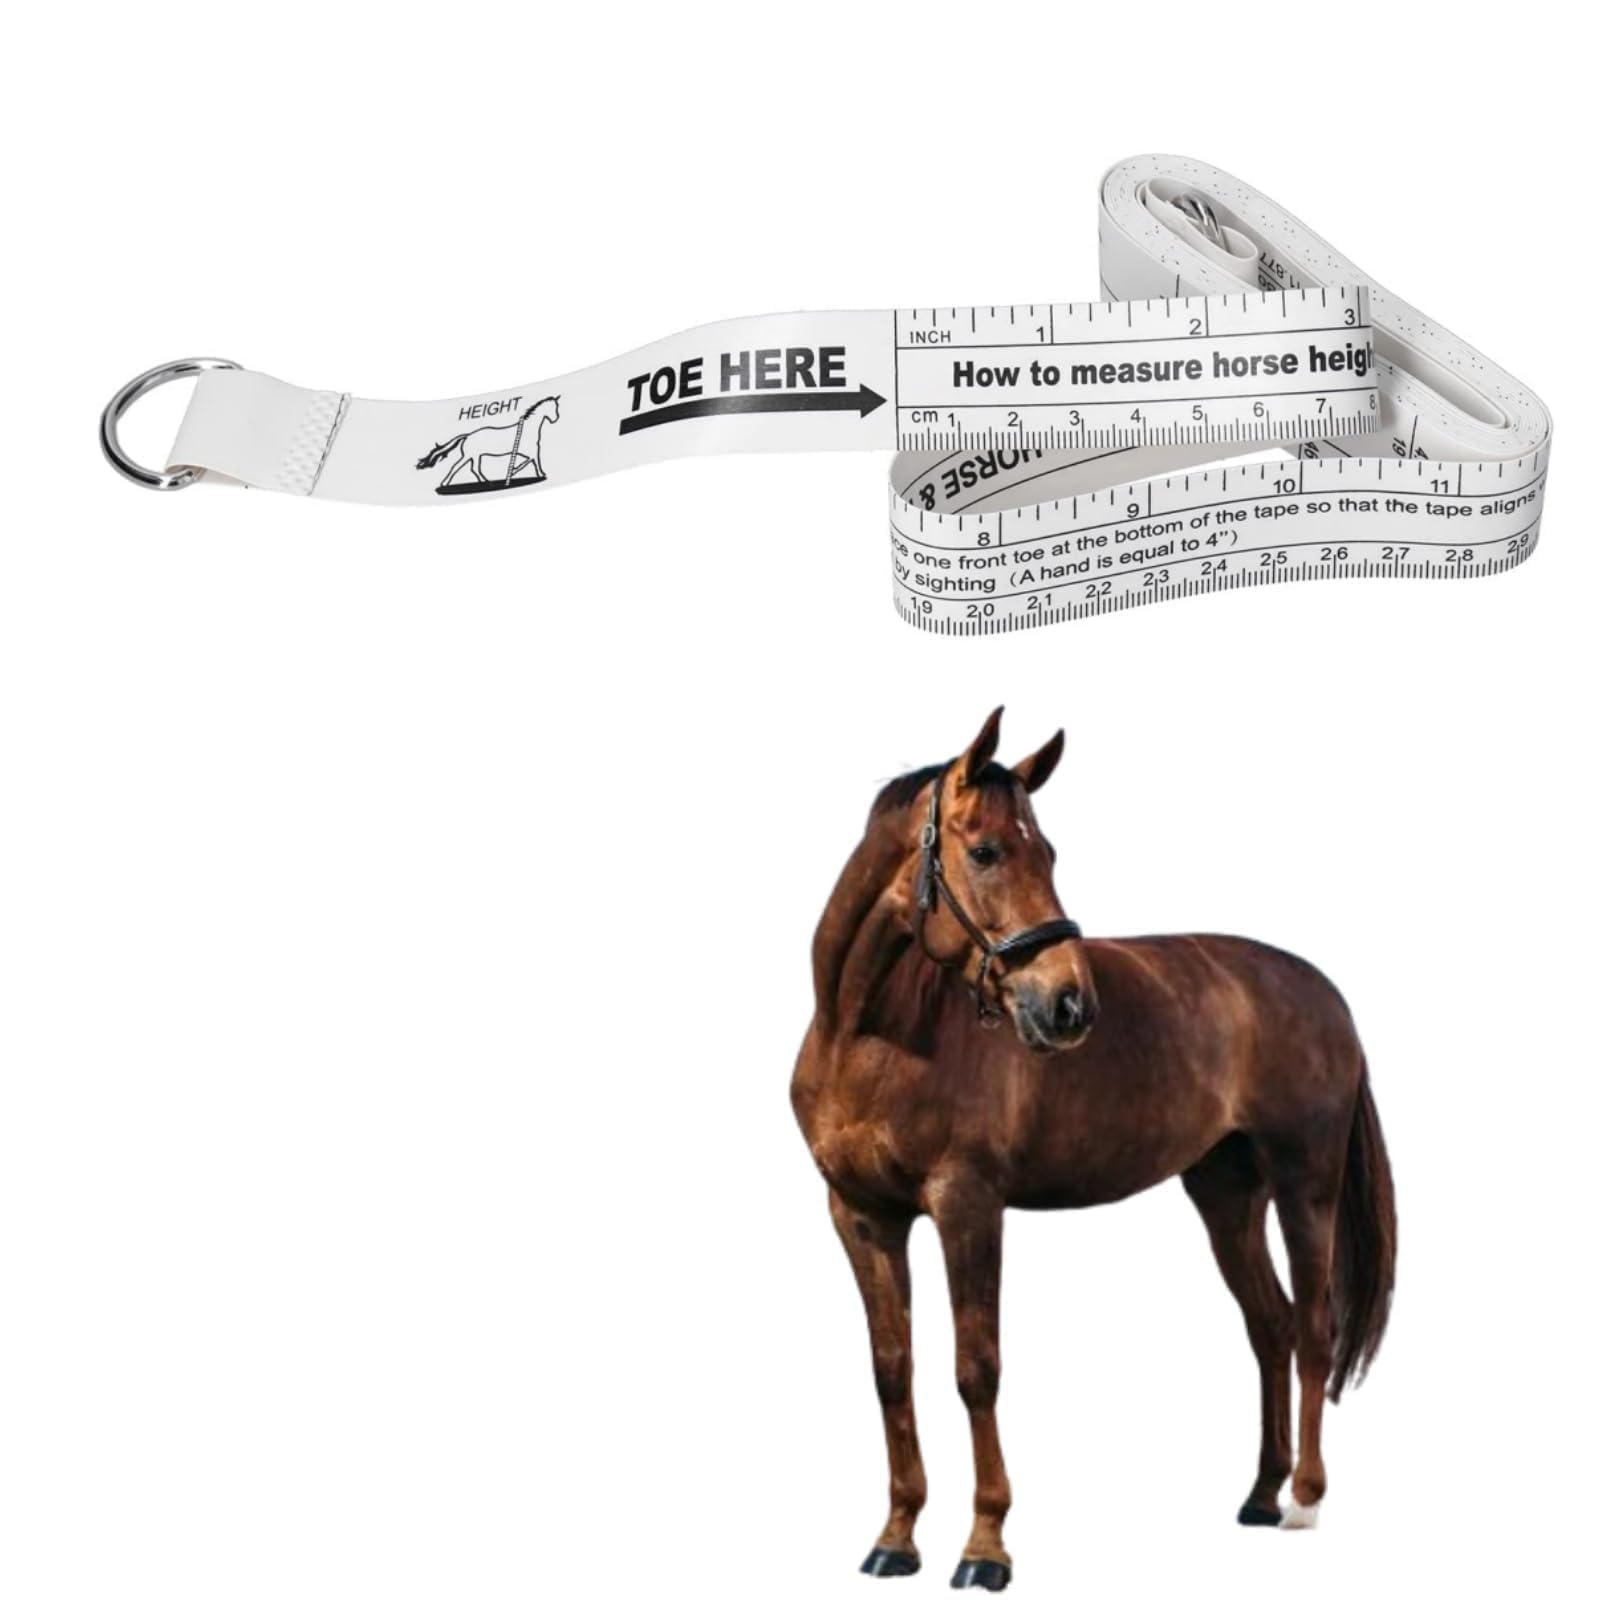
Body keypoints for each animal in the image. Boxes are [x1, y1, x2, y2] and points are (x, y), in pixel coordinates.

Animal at [415, 395, 560, 489]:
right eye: (555, 407)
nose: (555, 419)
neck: (527, 428)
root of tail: (467, 435)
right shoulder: (529, 450)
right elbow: (534, 460)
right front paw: (515, 471)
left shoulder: (527, 451)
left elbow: (533, 461)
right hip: (471, 455)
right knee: (461, 467)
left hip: (474, 456)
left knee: (472, 468)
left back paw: (483, 482)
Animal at [790, 708, 1396, 1590]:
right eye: (985, 851)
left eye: (1047, 851)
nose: (1069, 1004)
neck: (877, 1032)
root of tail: (1323, 992)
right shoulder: (862, 1214)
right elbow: (891, 1369)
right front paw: (895, 1538)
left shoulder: (967, 1206)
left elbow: (976, 1368)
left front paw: (985, 1548)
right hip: (1225, 1194)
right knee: (1271, 1326)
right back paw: (1258, 1493)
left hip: (1302, 1185)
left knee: (1313, 1327)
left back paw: (1304, 1499)